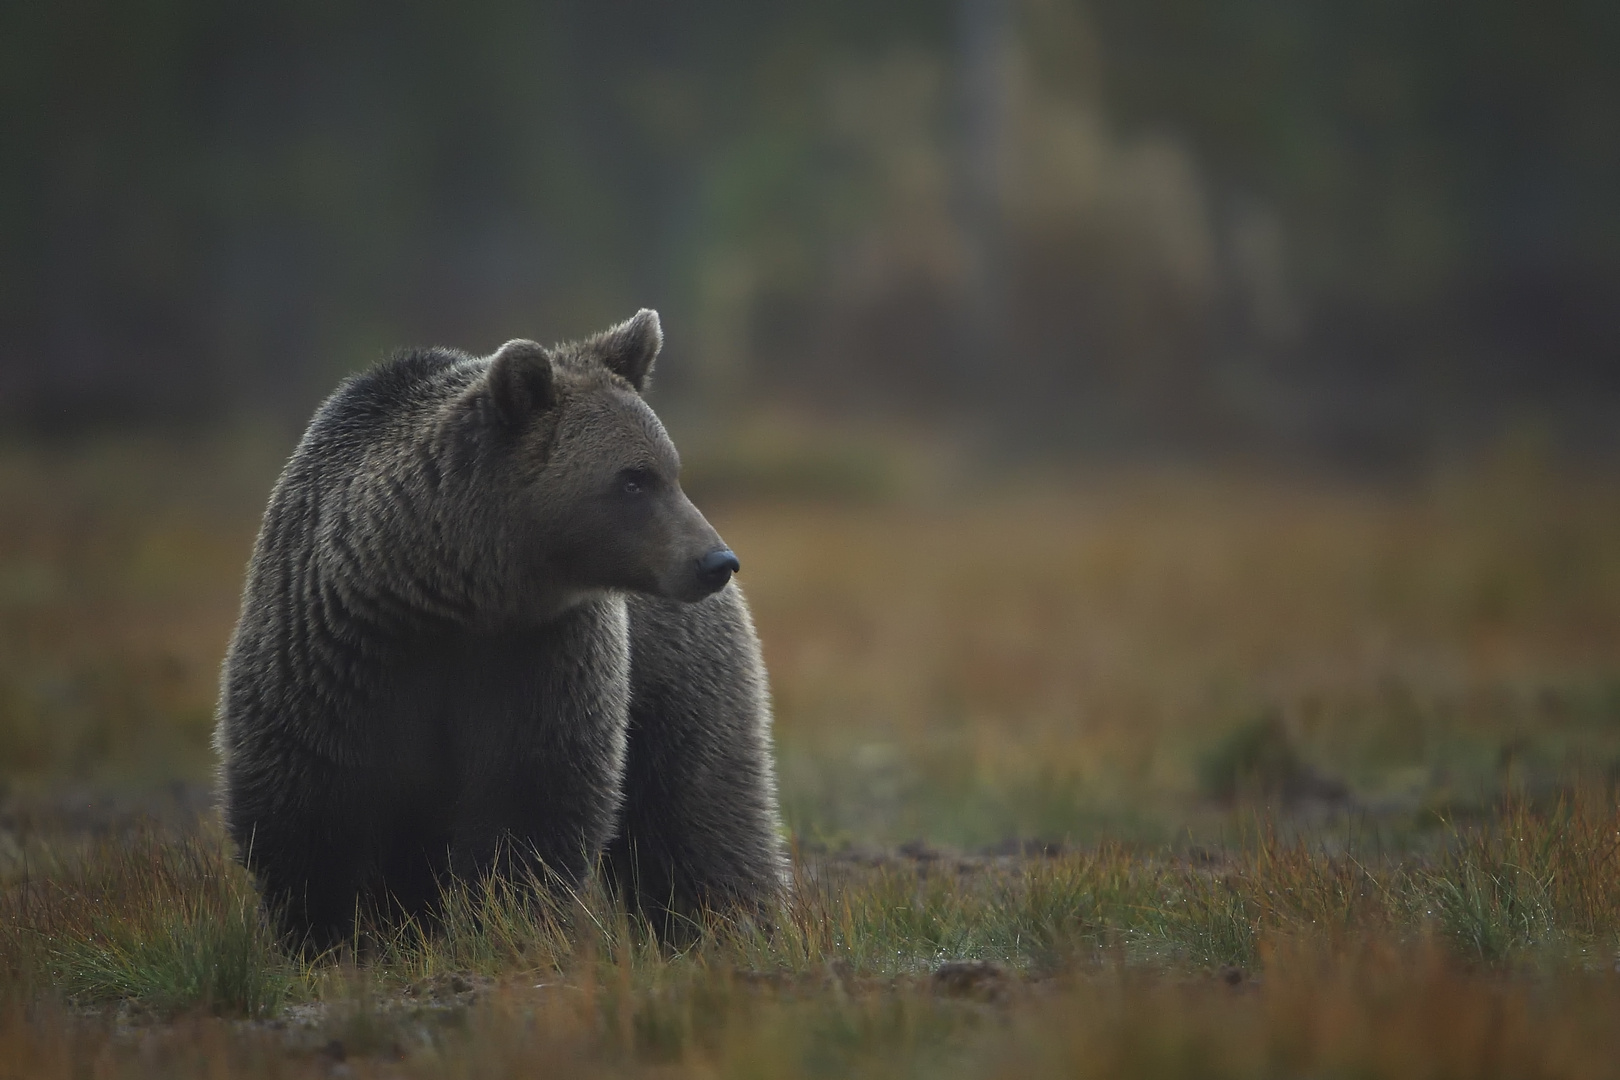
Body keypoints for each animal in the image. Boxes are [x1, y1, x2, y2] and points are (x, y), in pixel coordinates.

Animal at [213, 310, 784, 945]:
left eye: (670, 470)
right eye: (634, 478)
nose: (715, 561)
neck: (451, 596)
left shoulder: (541, 655)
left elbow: (533, 799)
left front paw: (508, 918)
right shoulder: (339, 652)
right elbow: (306, 806)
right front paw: (326, 934)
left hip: (675, 671)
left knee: (699, 807)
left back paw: (726, 921)